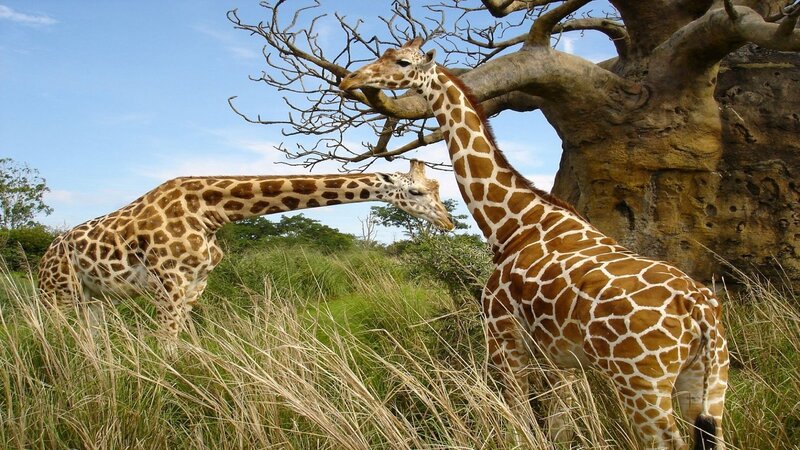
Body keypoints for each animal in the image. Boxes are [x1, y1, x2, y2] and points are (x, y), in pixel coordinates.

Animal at [37, 160, 453, 348]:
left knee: (91, 338)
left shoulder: (196, 284)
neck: (210, 212)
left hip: (95, 297)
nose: (448, 222)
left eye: (437, 188)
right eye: (416, 191)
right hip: (56, 294)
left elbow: (185, 343)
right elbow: (167, 345)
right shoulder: (169, 282)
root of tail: (45, 254)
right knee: (53, 335)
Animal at [340, 38, 728, 450]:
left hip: (642, 382)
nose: (350, 79)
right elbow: (560, 425)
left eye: (401, 61)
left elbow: (520, 419)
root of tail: (700, 312)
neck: (513, 223)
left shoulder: (503, 337)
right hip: (709, 382)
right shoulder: (559, 355)